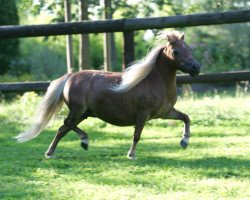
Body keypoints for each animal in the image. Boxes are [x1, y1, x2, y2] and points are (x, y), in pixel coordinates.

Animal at [15, 30, 201, 159]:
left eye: (189, 48)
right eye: (176, 51)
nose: (196, 68)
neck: (154, 81)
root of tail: (70, 76)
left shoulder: (165, 112)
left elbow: (186, 117)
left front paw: (184, 141)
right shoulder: (143, 114)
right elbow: (137, 135)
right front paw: (131, 155)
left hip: (84, 113)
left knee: (63, 128)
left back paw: (51, 152)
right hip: (77, 110)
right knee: (66, 124)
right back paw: (83, 141)